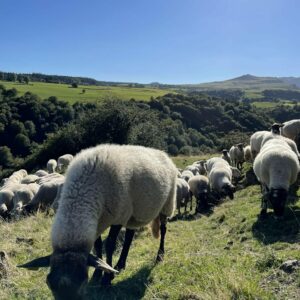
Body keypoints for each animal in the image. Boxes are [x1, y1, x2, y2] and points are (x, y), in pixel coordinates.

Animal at [18, 144, 178, 298]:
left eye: (83, 282)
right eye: (48, 283)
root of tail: (161, 152)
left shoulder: (118, 216)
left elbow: (110, 246)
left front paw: (107, 279)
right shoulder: (99, 222)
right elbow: (98, 246)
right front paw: (98, 273)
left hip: (167, 204)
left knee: (163, 230)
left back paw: (159, 256)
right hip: (133, 214)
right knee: (129, 237)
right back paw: (121, 264)